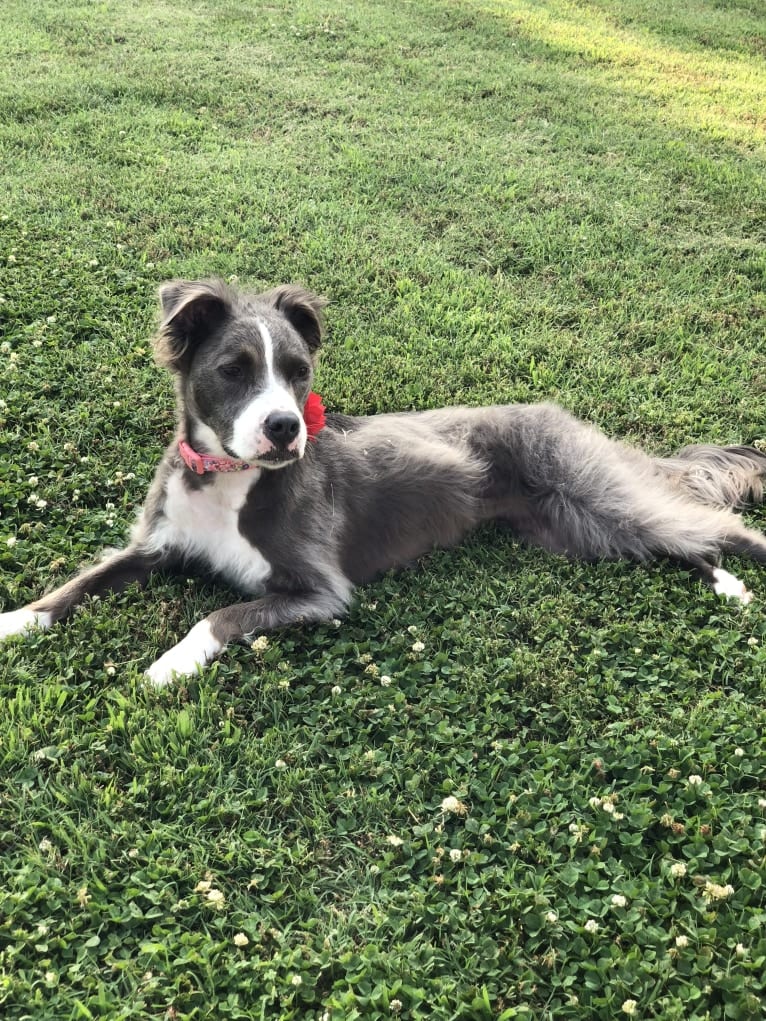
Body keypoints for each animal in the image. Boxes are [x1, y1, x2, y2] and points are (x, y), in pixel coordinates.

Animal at [1, 277, 766, 686]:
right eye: (233, 369)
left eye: (299, 370)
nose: (286, 427)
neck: (228, 478)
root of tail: (560, 413)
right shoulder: (153, 545)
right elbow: (76, 586)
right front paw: (15, 621)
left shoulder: (317, 592)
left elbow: (217, 615)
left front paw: (171, 664)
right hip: (574, 529)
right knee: (681, 543)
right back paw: (723, 582)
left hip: (597, 496)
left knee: (713, 525)